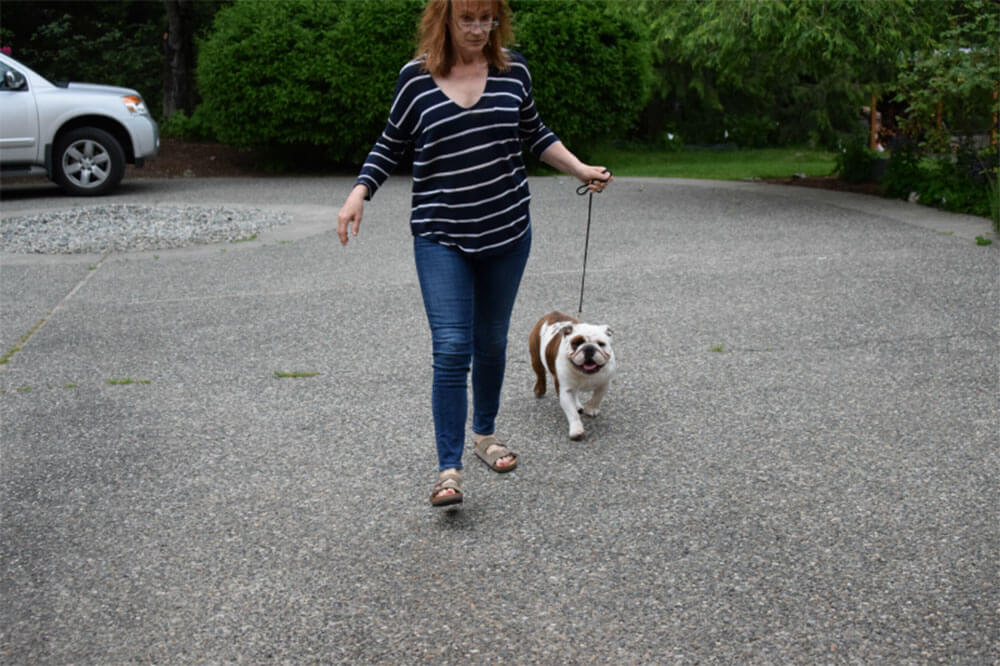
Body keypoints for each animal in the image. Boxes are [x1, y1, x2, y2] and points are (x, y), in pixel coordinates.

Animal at [528, 310, 612, 438]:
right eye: (576, 343)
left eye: (601, 344)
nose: (589, 348)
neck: (585, 373)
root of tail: (552, 314)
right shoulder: (565, 391)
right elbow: (572, 413)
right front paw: (576, 430)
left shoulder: (604, 384)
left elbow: (597, 397)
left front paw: (591, 408)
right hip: (536, 358)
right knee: (540, 375)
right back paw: (539, 390)